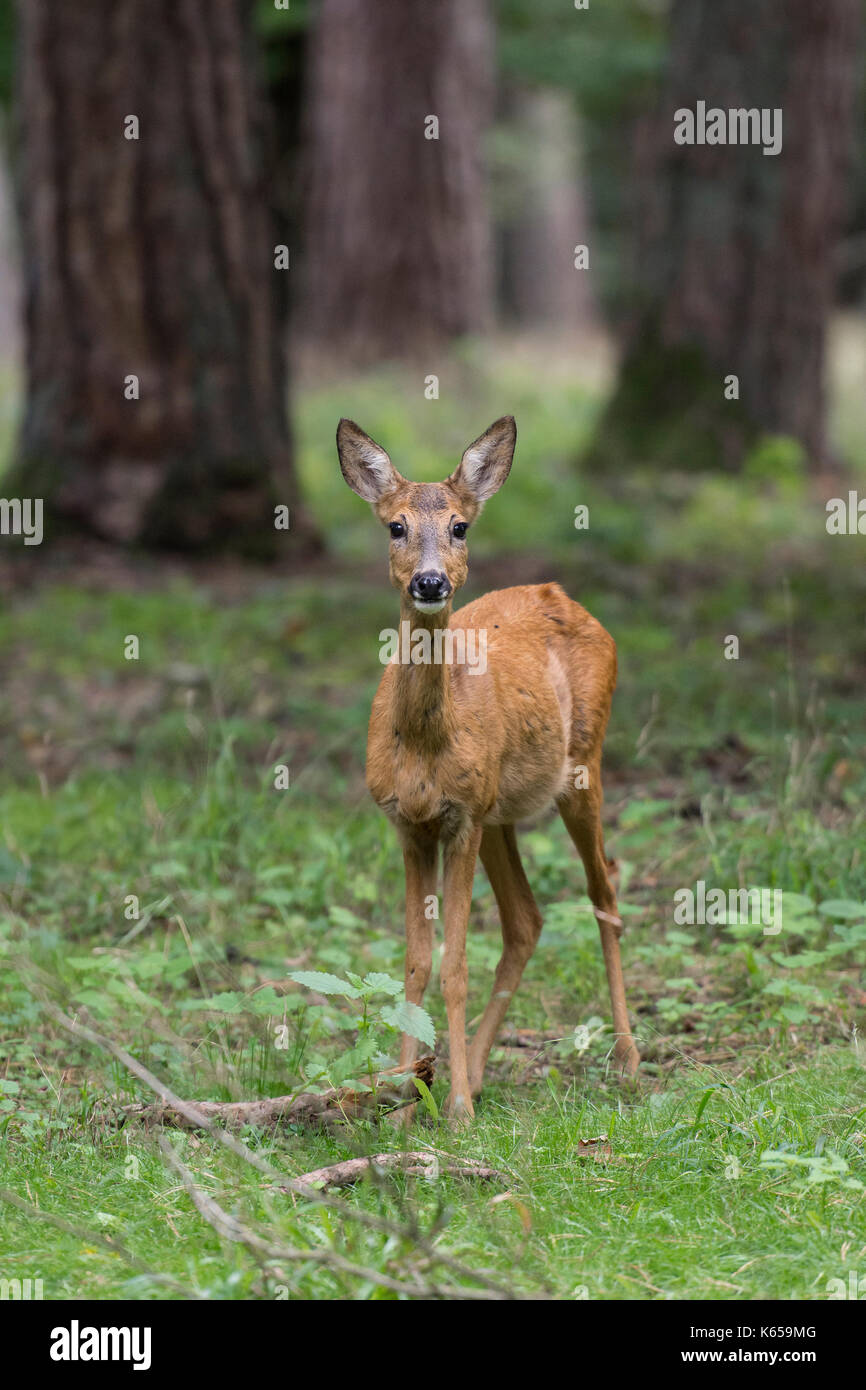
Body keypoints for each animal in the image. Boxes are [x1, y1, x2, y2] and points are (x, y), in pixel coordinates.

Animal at [339, 411, 644, 1117]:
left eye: (460, 526)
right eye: (395, 526)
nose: (430, 582)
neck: (424, 744)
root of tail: (563, 594)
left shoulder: (460, 818)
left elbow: (455, 967)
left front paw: (453, 1111)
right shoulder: (409, 823)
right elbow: (416, 964)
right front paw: (404, 1097)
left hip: (580, 769)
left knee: (606, 890)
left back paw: (630, 1063)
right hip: (501, 809)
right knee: (526, 920)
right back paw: (475, 1071)